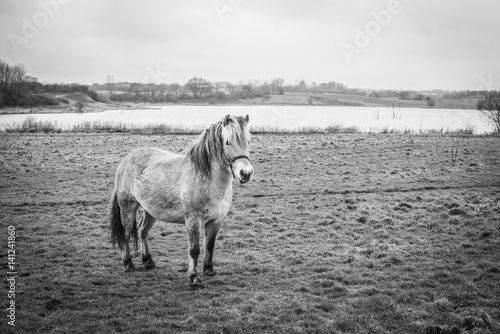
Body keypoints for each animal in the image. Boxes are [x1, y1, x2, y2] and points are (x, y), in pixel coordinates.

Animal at [108, 115, 252, 288]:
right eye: (228, 142)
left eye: (247, 141)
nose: (246, 173)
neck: (206, 179)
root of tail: (126, 159)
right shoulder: (193, 220)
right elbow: (194, 249)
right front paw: (194, 278)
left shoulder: (216, 221)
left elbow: (209, 245)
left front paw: (209, 270)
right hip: (128, 208)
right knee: (126, 233)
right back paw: (128, 264)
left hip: (151, 211)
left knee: (143, 232)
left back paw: (148, 262)